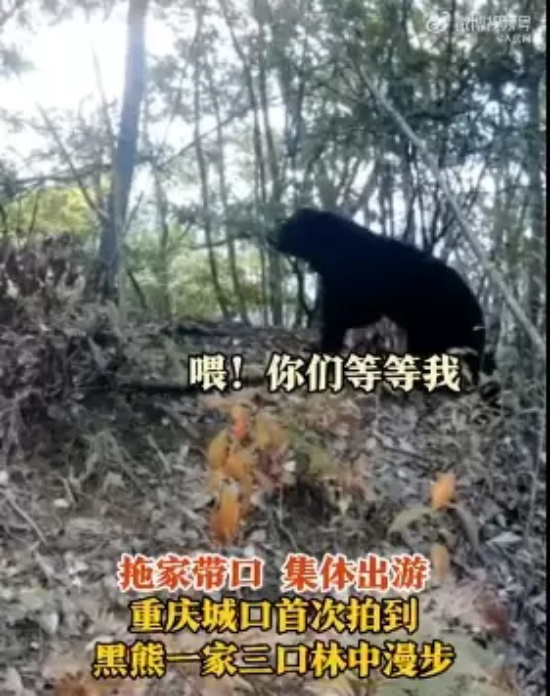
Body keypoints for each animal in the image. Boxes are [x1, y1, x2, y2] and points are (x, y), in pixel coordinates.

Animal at [270, 207, 492, 389]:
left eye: (289, 225)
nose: (270, 235)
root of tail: (479, 317)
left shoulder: (349, 290)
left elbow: (338, 319)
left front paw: (325, 349)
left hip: (438, 325)